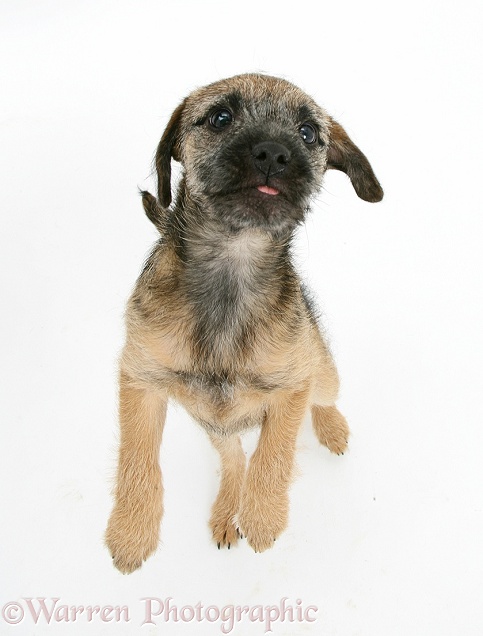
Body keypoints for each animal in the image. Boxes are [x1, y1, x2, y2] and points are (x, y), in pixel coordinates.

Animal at [107, 72, 386, 572]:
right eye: (221, 117)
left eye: (308, 133)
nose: (273, 153)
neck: (233, 267)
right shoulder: (140, 381)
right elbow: (137, 457)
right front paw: (131, 532)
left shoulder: (292, 386)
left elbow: (273, 454)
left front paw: (262, 516)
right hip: (214, 425)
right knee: (234, 457)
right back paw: (225, 510)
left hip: (323, 373)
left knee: (321, 401)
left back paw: (331, 430)